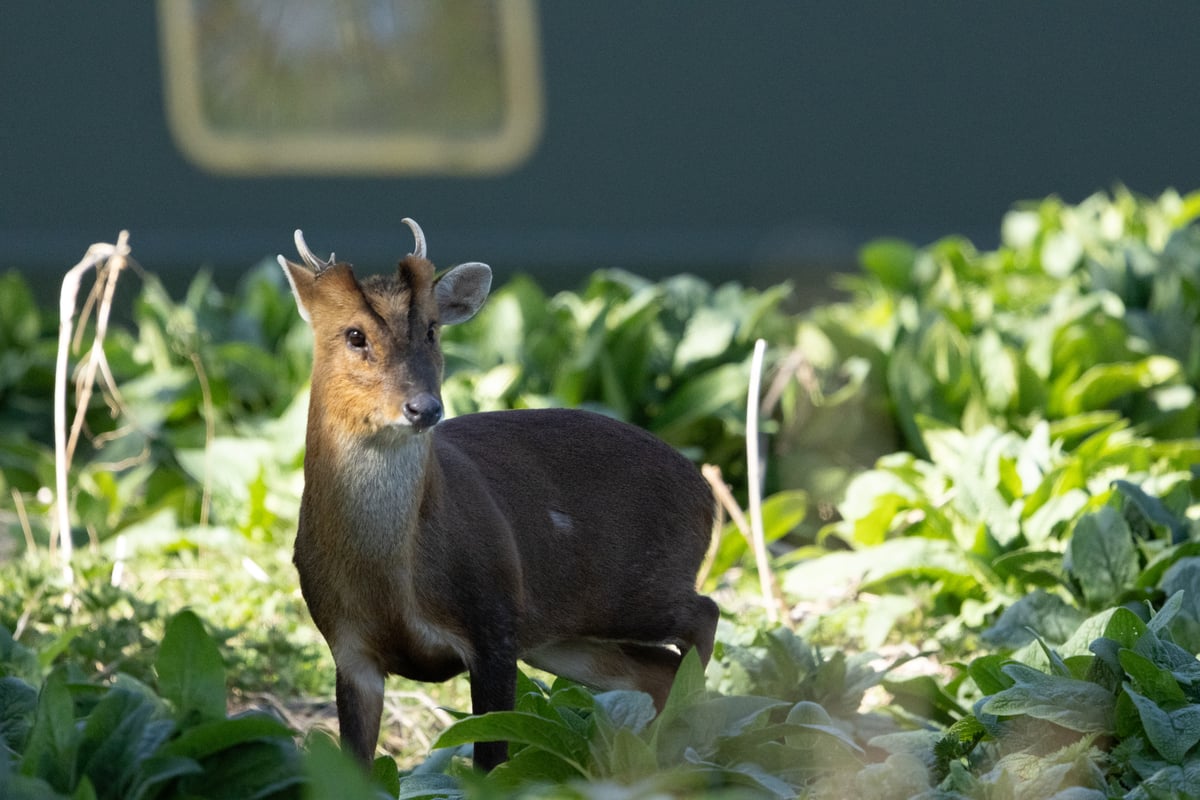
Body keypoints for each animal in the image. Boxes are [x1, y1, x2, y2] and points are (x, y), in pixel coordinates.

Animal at [277, 219, 720, 771]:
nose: (424, 407)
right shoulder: (347, 646)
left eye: (431, 328)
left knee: (704, 614)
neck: (390, 581)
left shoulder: (494, 624)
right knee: (657, 670)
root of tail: (708, 495)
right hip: (564, 634)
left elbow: (491, 763)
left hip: (636, 585)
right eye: (354, 334)